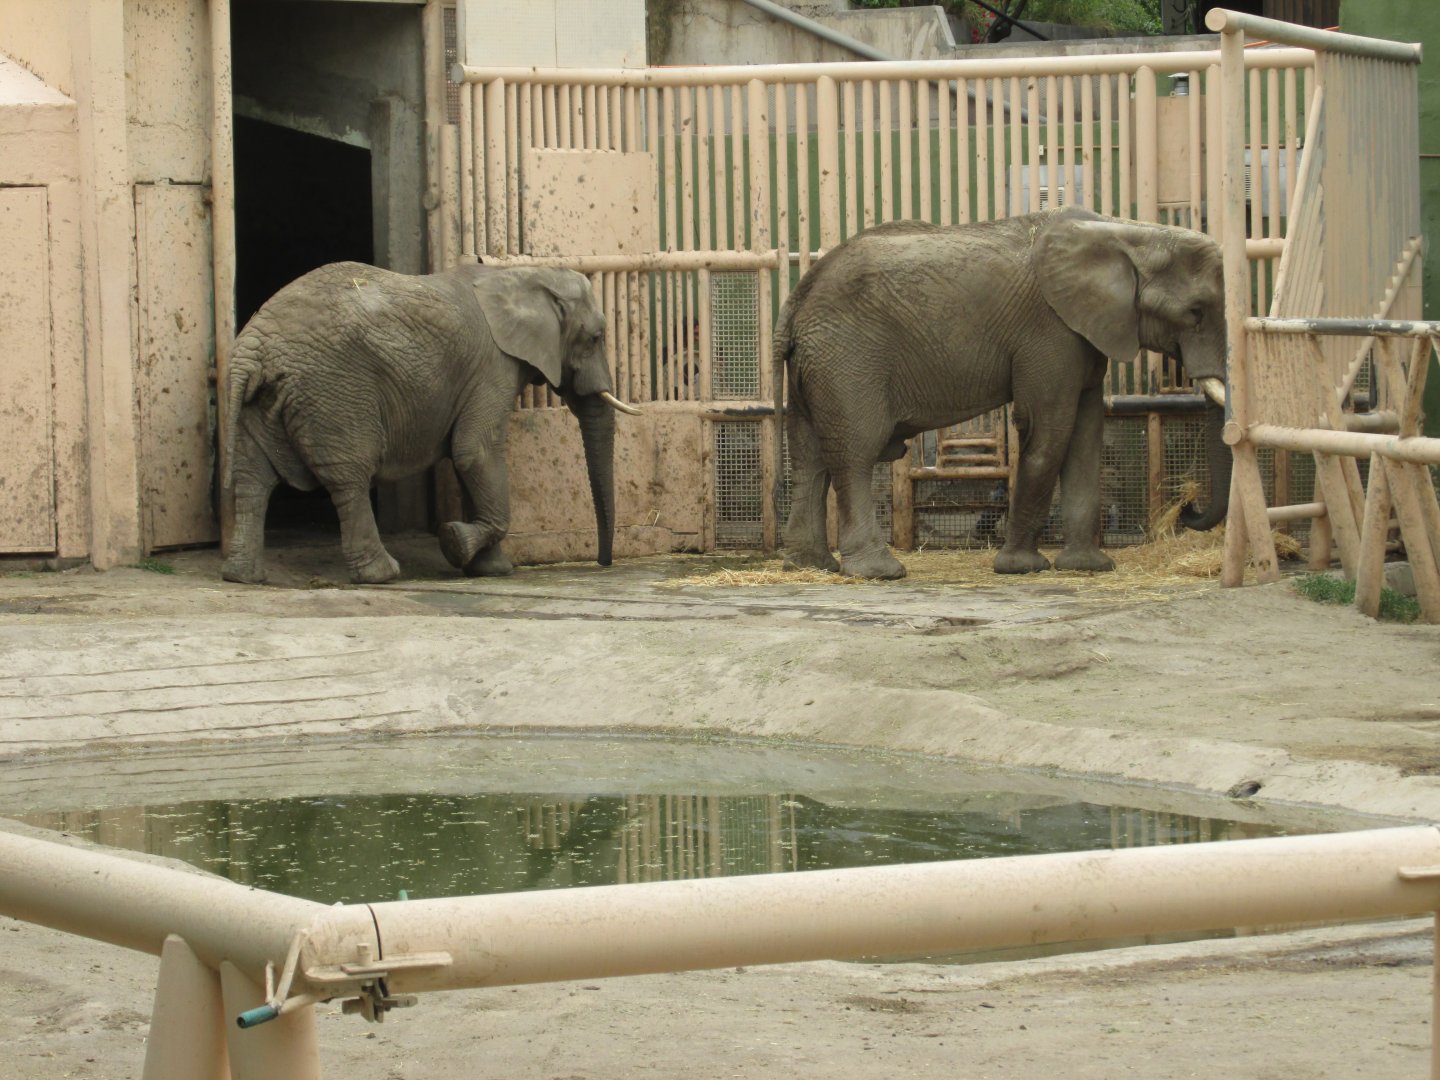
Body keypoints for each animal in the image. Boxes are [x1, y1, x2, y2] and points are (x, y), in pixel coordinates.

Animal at [220, 261, 638, 585]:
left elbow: (468, 460)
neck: (521, 275)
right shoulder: (492, 368)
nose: (604, 562)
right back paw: (381, 575)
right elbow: (475, 451)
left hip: (262, 400)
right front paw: (455, 543)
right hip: (332, 390)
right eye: (596, 337)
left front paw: (489, 570)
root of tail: (253, 348)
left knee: (251, 477)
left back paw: (243, 576)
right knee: (348, 477)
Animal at [778, 205, 1230, 580]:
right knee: (856, 452)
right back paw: (878, 572)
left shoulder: (1083, 332)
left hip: (818, 364)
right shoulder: (1049, 332)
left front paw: (1088, 567)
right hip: (848, 359)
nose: (1187, 505)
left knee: (809, 456)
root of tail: (797, 297)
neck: (1128, 233)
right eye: (1196, 312)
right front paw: (1021, 568)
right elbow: (1049, 432)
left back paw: (811, 566)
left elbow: (1085, 437)